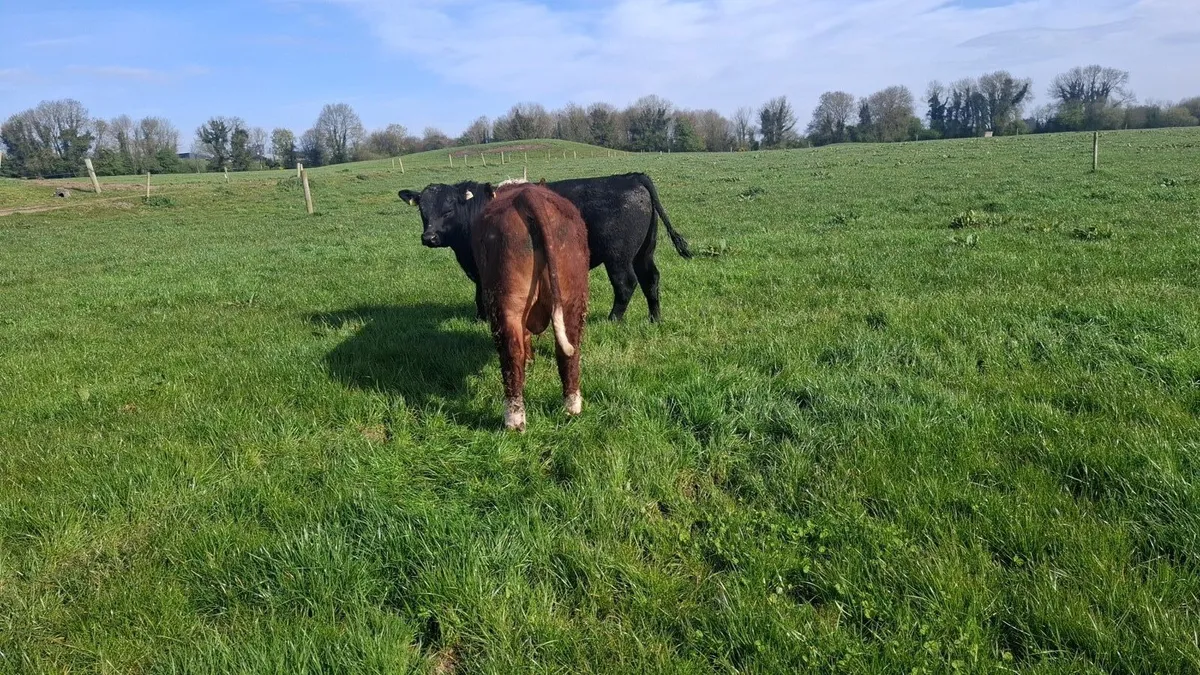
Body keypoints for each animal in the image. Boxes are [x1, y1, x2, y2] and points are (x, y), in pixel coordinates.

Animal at [398, 172, 691, 323]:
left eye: (448, 210)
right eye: (423, 211)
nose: (429, 237)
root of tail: (631, 177)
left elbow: (482, 293)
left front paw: (485, 318)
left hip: (618, 256)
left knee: (626, 284)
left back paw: (612, 319)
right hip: (644, 251)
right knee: (651, 279)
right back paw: (654, 318)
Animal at [471, 181, 590, 431]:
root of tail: (528, 194)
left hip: (505, 302)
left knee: (511, 352)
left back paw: (514, 419)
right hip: (573, 298)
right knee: (570, 350)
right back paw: (572, 406)